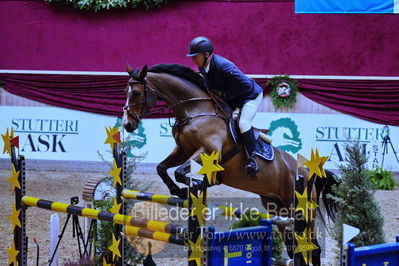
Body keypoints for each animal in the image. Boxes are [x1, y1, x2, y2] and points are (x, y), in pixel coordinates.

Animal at [121, 62, 338, 264]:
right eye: (126, 92)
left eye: (137, 92)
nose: (127, 125)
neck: (194, 112)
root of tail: (307, 171)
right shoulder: (182, 151)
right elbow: (162, 168)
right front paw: (180, 191)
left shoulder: (208, 152)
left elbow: (180, 172)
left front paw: (193, 187)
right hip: (277, 209)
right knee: (293, 245)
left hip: (300, 209)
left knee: (313, 248)